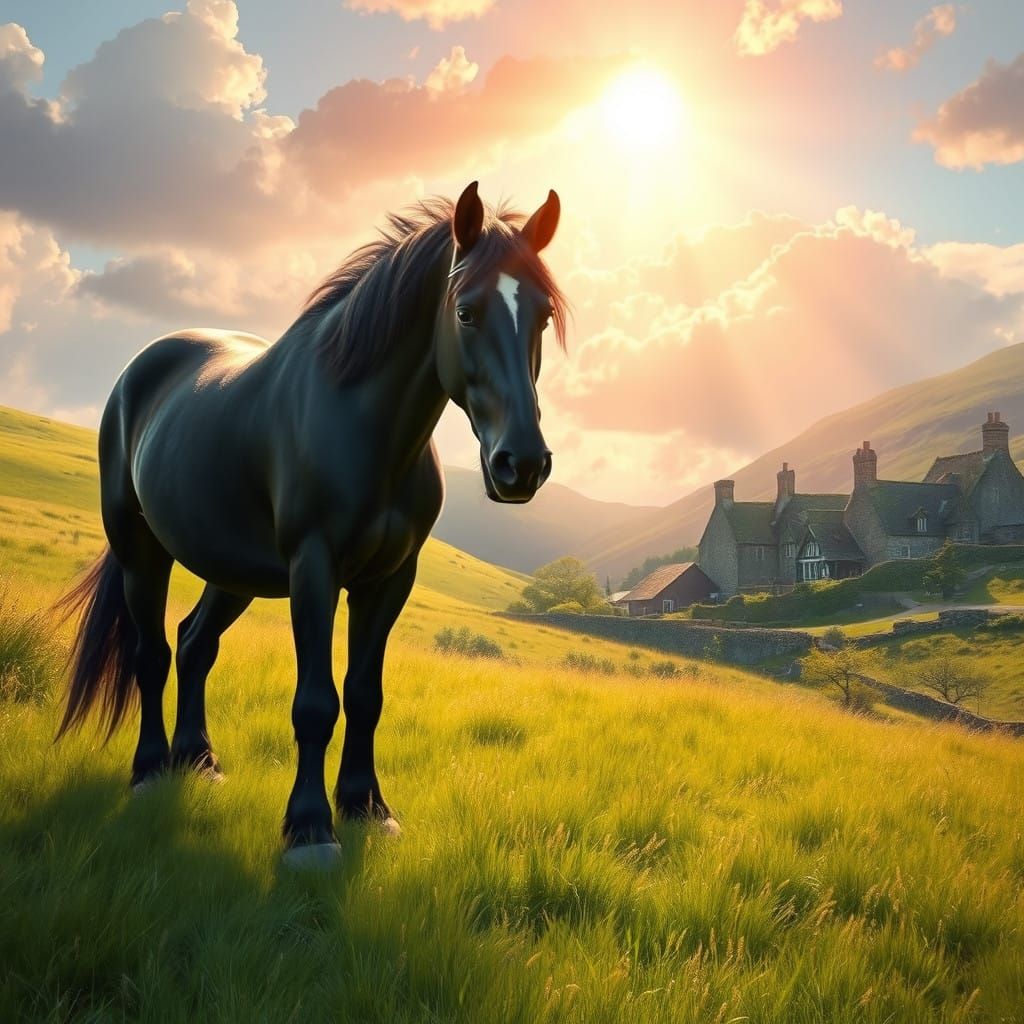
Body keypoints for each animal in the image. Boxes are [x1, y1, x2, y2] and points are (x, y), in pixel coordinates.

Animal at [56, 182, 567, 866]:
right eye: (465, 312)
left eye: (542, 315)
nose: (522, 464)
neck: (363, 426)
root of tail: (141, 370)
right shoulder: (314, 569)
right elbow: (316, 703)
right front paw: (309, 829)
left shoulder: (389, 581)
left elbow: (365, 695)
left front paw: (367, 808)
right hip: (141, 553)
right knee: (153, 653)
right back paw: (150, 770)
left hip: (233, 571)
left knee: (194, 643)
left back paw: (200, 761)